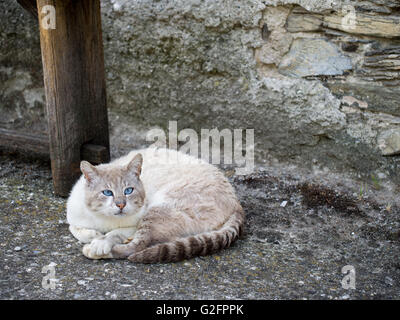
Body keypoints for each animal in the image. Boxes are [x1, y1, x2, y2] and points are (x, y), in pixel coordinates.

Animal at [66, 148, 244, 262]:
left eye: (128, 190)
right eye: (107, 193)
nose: (121, 205)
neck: (105, 220)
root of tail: (236, 201)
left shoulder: (135, 223)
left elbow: (113, 234)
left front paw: (99, 242)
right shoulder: (74, 216)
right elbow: (76, 229)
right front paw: (94, 235)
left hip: (157, 209)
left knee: (138, 247)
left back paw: (93, 251)